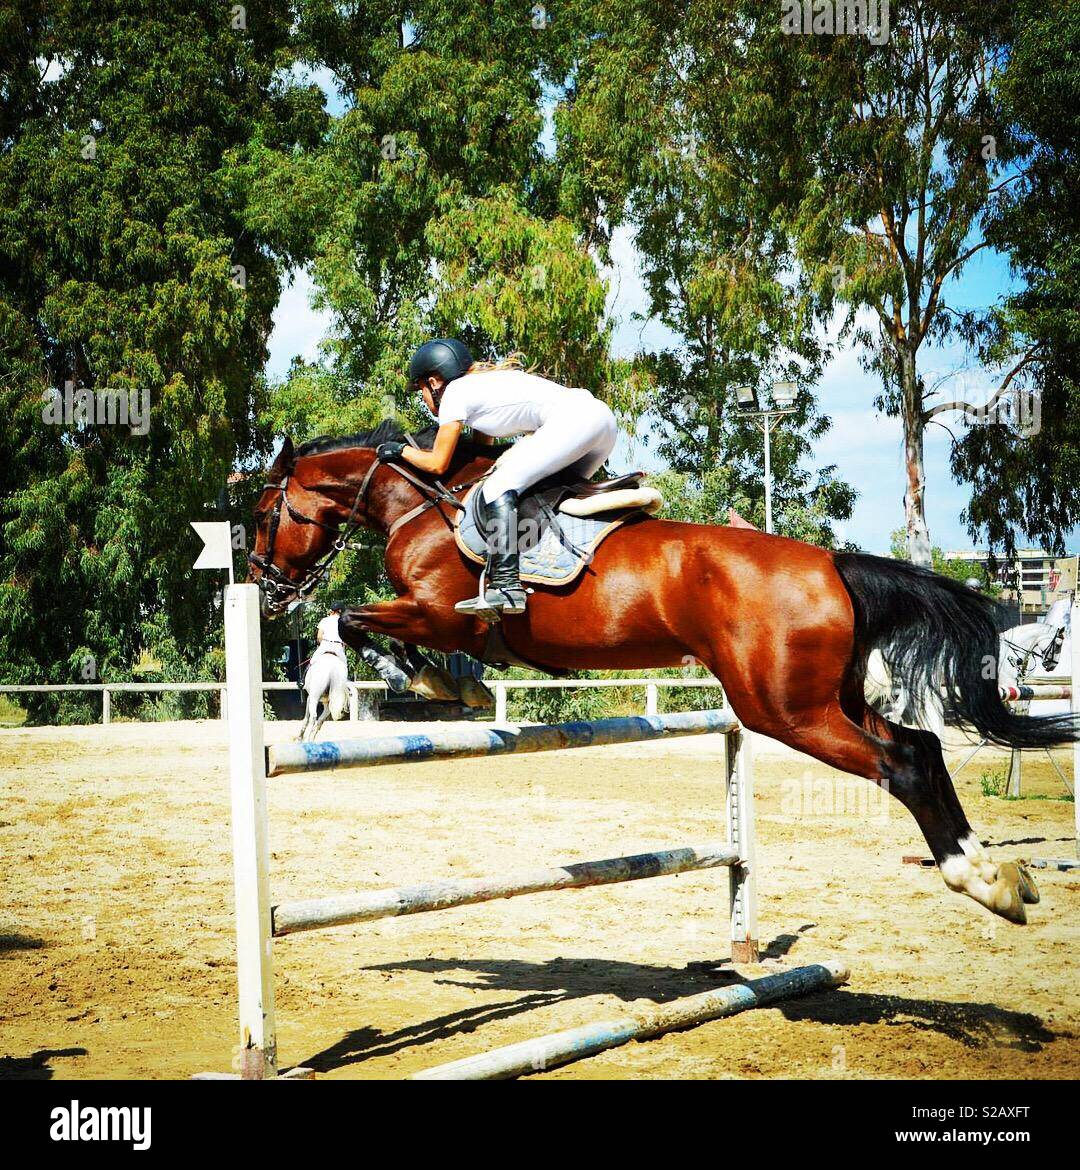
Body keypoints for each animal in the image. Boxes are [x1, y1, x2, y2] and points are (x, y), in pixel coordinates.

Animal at [247, 422, 1078, 925]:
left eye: (264, 514)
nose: (264, 585)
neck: (428, 504)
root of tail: (831, 563)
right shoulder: (444, 620)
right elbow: (389, 633)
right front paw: (456, 685)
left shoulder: (441, 613)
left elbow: (351, 620)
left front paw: (412, 678)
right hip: (825, 698)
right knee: (925, 749)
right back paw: (996, 877)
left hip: (784, 709)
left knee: (902, 762)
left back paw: (976, 881)